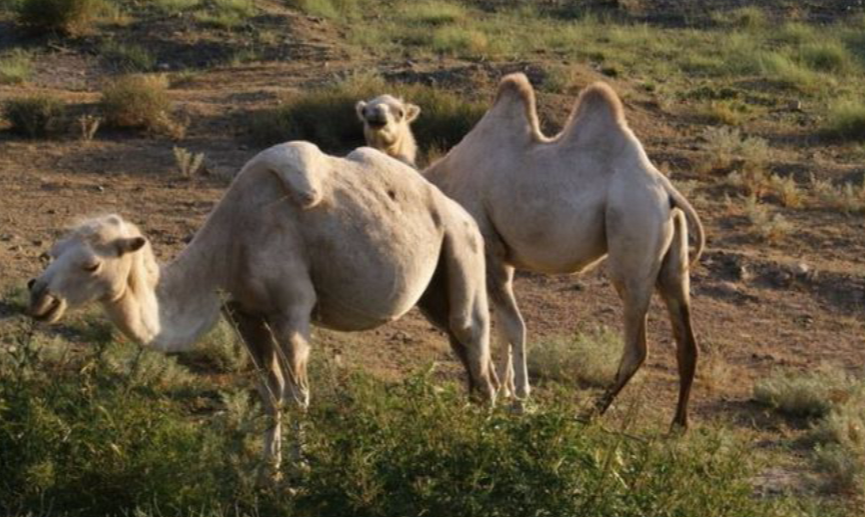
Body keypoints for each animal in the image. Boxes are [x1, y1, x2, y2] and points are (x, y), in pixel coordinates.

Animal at [27, 141, 492, 472]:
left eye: (91, 264)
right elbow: (270, 394)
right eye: (52, 251)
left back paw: (486, 445)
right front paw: (268, 472)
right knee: (463, 354)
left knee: (474, 343)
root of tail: (456, 209)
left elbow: (298, 394)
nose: (39, 297)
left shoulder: (292, 311)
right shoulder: (243, 314)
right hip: (435, 289)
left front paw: (300, 474)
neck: (231, 246)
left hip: (464, 245)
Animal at [358, 72, 704, 428]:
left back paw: (590, 413)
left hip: (634, 235)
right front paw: (507, 391)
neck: (438, 182)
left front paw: (520, 398)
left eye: (399, 111)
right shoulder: (504, 263)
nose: (377, 118)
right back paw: (678, 424)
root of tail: (667, 191)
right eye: (366, 110)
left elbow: (514, 327)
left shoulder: (489, 251)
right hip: (670, 257)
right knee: (686, 339)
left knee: (637, 345)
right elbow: (502, 328)